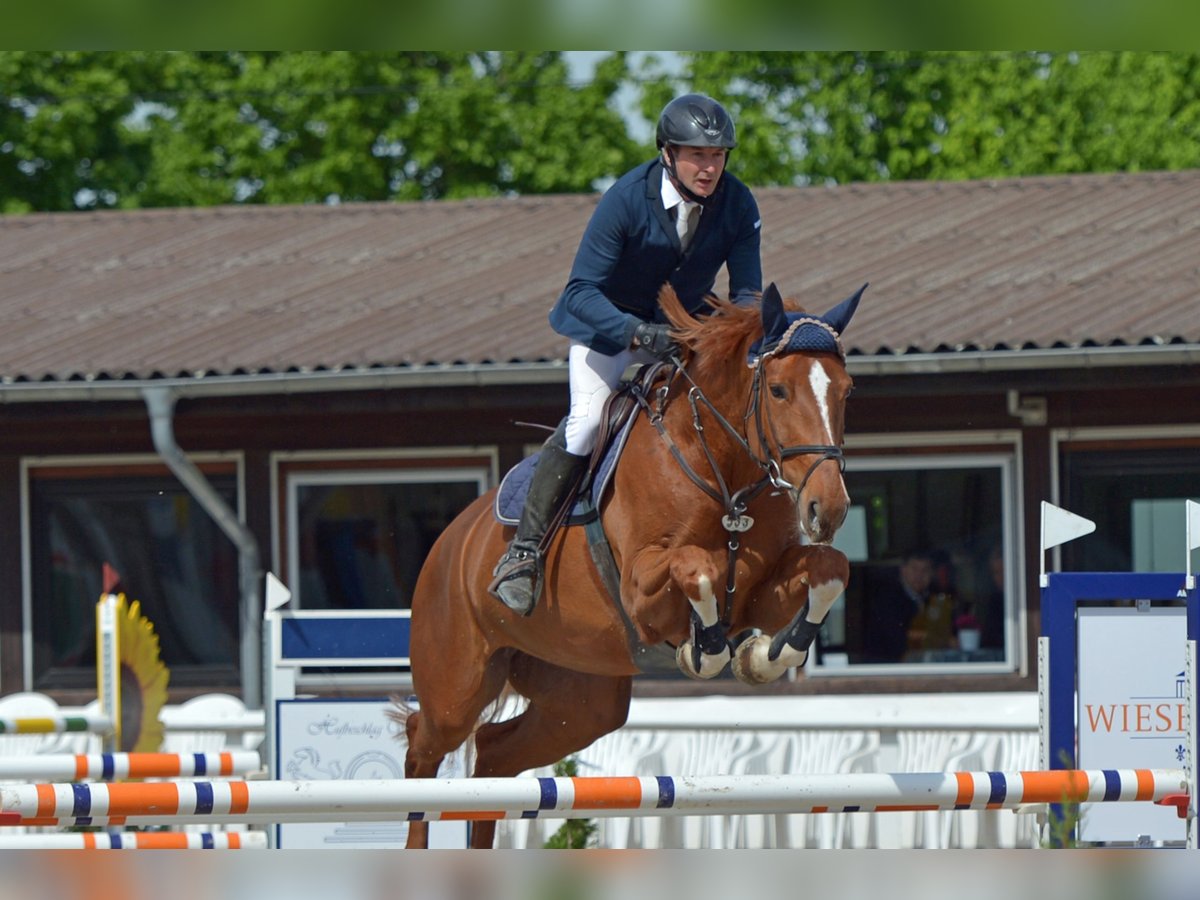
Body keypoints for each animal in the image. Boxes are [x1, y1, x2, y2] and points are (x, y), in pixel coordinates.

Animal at [401, 281, 864, 848]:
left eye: (846, 392)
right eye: (777, 390)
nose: (829, 508)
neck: (723, 471)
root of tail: (449, 542)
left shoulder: (760, 593)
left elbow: (830, 570)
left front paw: (760, 655)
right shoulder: (642, 591)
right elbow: (698, 566)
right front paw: (704, 649)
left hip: (580, 701)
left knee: (491, 754)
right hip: (457, 686)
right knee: (422, 750)